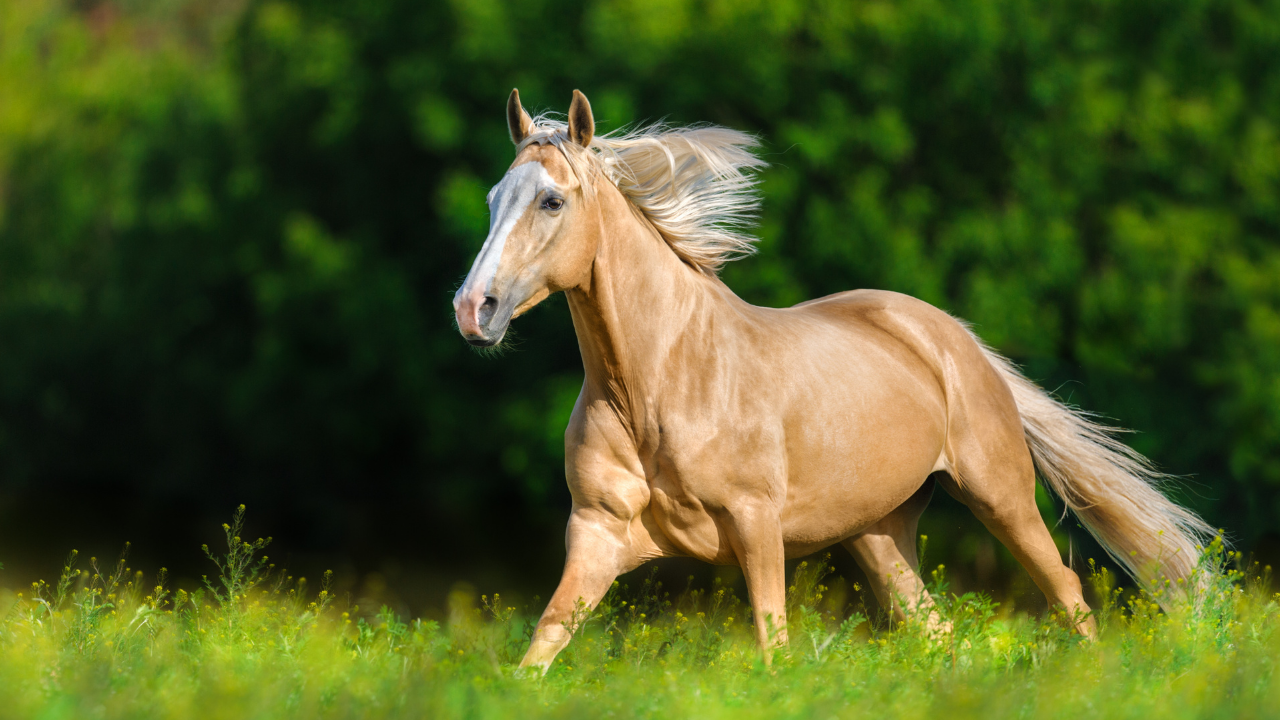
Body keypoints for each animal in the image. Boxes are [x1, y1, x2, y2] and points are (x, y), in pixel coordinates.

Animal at [452, 89, 1214, 672]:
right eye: (492, 198)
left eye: (552, 201)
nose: (473, 309)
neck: (658, 385)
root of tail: (953, 338)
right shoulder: (597, 531)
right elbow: (542, 645)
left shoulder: (756, 524)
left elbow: (773, 644)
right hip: (879, 534)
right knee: (937, 629)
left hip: (1001, 497)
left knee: (1067, 595)